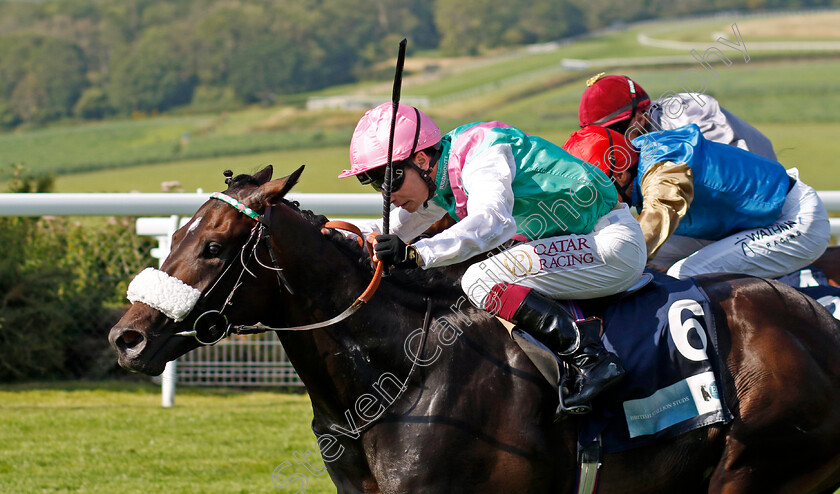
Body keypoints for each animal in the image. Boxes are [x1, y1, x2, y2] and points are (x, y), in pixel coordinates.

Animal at [108, 167, 840, 494]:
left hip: (753, 468)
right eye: (179, 234)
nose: (127, 337)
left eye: (213, 247)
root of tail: (820, 328)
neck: (399, 375)